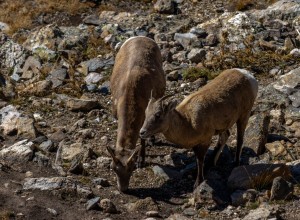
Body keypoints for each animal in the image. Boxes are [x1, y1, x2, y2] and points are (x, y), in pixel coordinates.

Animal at [107, 36, 165, 192]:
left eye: (132, 168)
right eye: (113, 168)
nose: (123, 189)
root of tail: (141, 37)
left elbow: (142, 137)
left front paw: (141, 160)